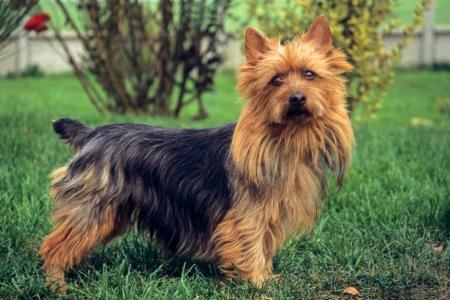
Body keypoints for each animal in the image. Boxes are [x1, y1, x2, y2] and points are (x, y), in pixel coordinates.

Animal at [40, 15, 354, 292]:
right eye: (276, 80)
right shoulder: (246, 216)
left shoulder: (269, 215)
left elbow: (264, 245)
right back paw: (57, 285)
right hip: (92, 207)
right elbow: (251, 244)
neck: (285, 138)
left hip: (108, 212)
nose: (297, 97)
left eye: (310, 74)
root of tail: (92, 134)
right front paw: (257, 284)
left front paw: (266, 278)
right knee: (52, 246)